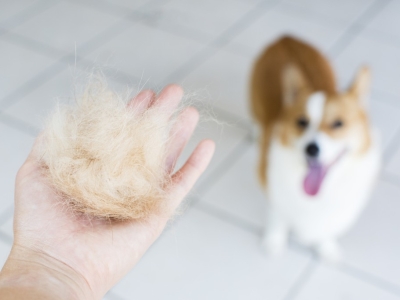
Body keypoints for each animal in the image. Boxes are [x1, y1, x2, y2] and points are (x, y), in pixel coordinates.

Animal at [250, 35, 382, 262]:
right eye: (302, 122)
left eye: (338, 124)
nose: (311, 149)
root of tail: (285, 37)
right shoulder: (274, 192)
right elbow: (277, 219)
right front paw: (274, 243)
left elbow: (325, 231)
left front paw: (327, 248)